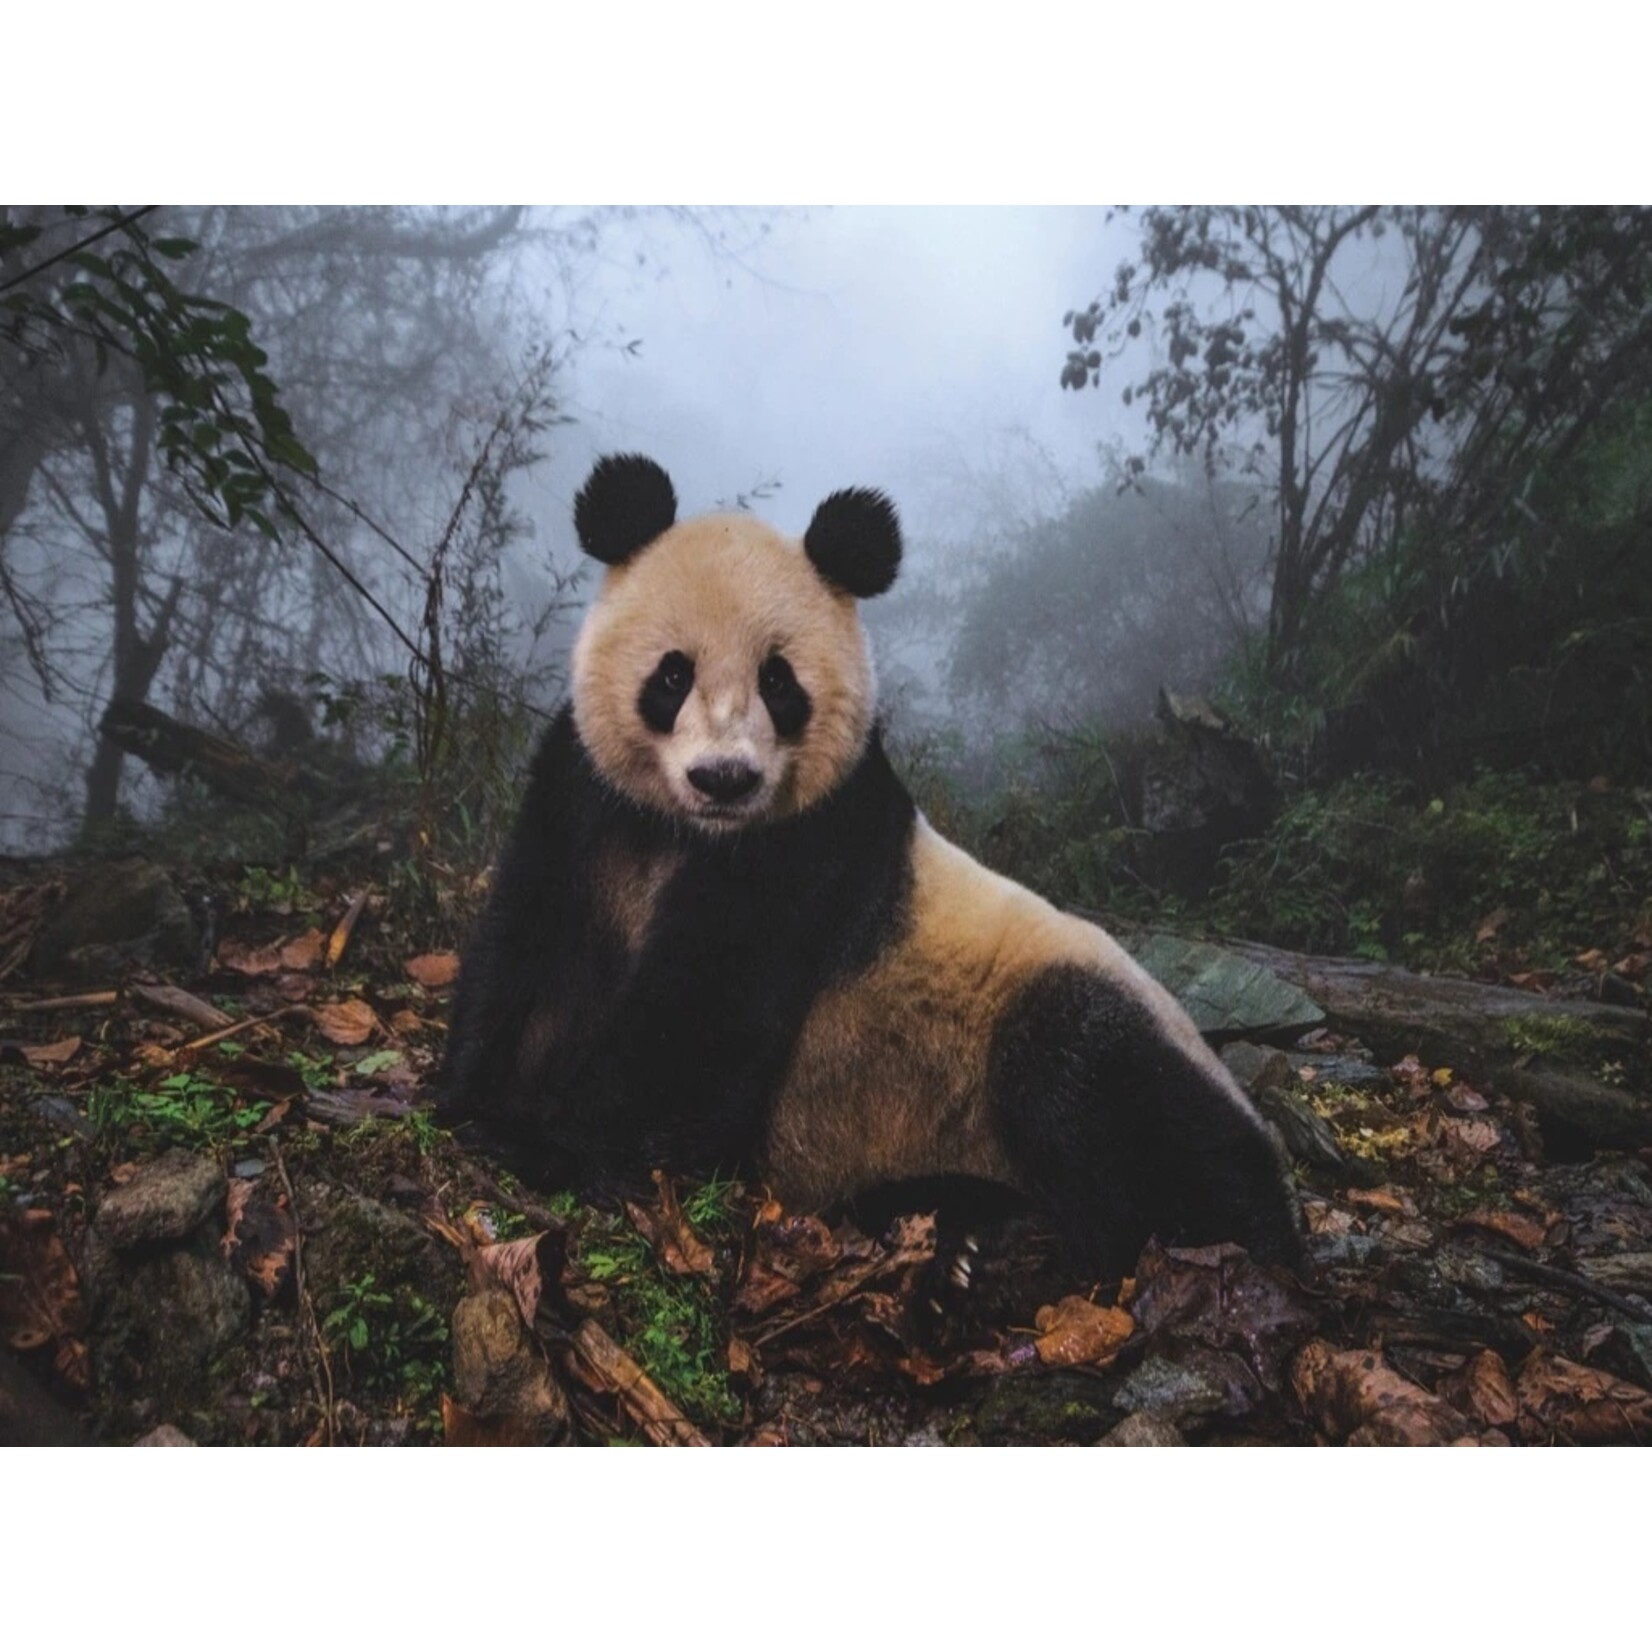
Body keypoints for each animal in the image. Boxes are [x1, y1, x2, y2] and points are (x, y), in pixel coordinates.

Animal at [441, 454, 1301, 1278]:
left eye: (778, 681)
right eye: (672, 673)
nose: (725, 778)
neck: (694, 833)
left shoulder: (812, 841)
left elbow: (702, 1015)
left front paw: (550, 1142)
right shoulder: (585, 796)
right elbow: (528, 938)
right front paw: (474, 1096)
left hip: (1087, 1018)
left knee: (1099, 1091)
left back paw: (1058, 1249)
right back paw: (961, 1228)